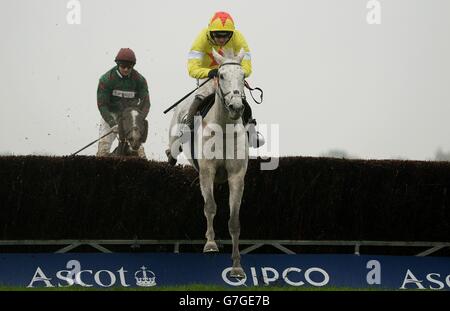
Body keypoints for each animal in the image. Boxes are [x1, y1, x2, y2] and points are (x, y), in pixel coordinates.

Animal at [167, 49, 248, 280]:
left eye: (243, 76)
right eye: (220, 75)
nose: (236, 106)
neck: (223, 129)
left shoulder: (237, 175)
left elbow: (234, 220)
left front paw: (237, 266)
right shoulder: (206, 171)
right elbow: (210, 207)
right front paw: (210, 244)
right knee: (171, 154)